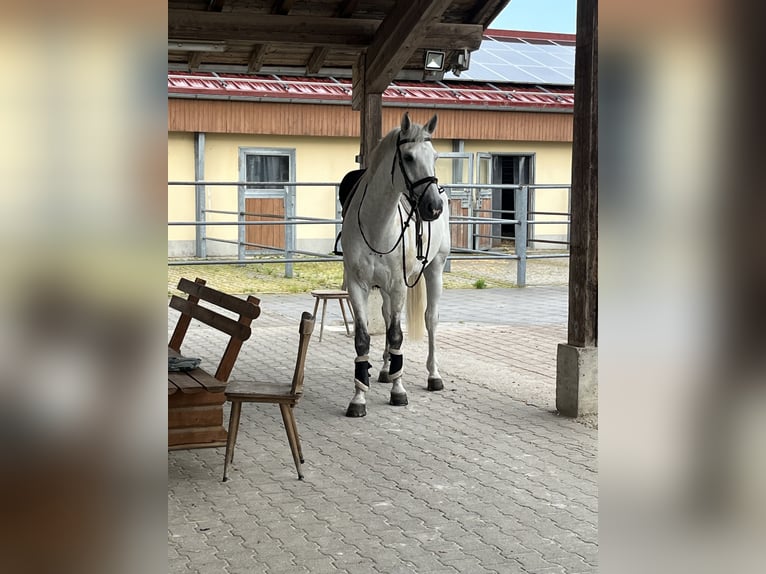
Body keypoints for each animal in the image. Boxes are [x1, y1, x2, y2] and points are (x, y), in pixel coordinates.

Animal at [340, 112, 450, 418]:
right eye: (409, 157)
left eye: (436, 156)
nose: (433, 207)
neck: (377, 225)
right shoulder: (358, 286)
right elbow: (363, 338)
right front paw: (358, 397)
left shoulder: (400, 285)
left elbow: (397, 335)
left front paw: (398, 392)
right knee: (388, 314)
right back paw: (386, 369)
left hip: (435, 269)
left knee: (430, 319)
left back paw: (433, 375)